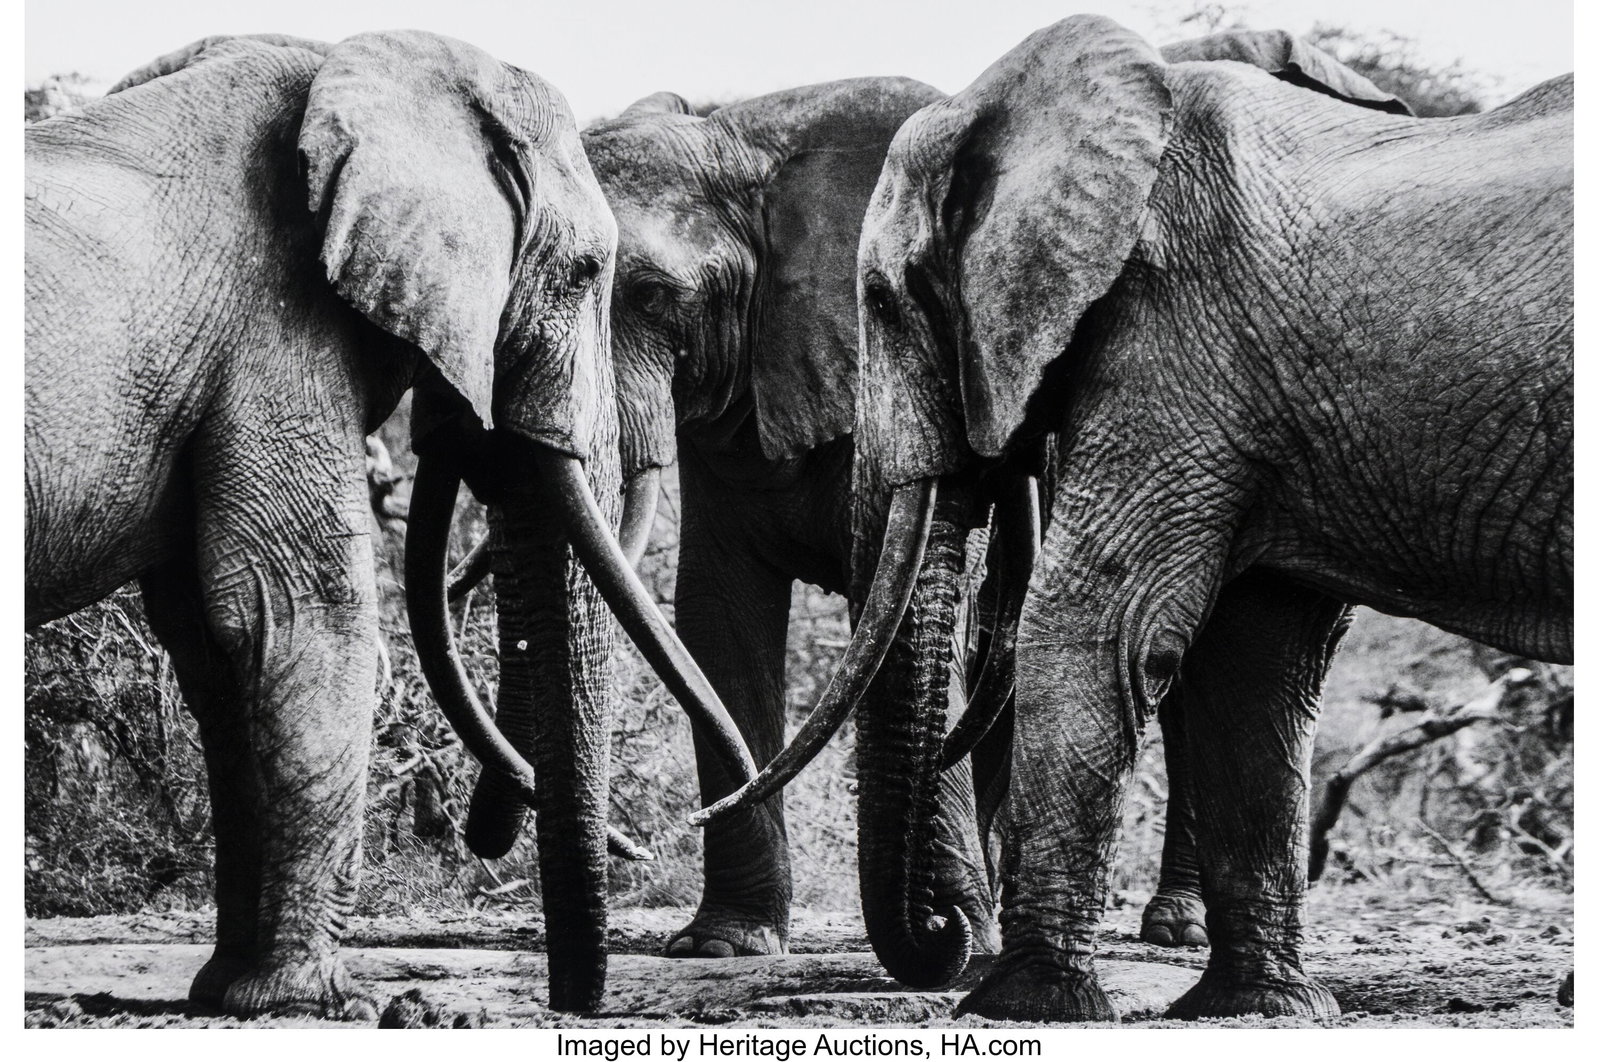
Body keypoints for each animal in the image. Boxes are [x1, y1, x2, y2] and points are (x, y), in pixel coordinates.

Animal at [25, 30, 755, 1017]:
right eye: (586, 276)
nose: (569, 1004)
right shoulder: (273, 333)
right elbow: (298, 614)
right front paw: (307, 1000)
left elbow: (213, 648)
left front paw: (230, 992)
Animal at [705, 15, 1571, 1021]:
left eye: (882, 300)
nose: (944, 930)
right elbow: (1256, 664)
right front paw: (1258, 1010)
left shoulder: (1172, 349)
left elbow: (1092, 627)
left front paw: (1022, 1005)